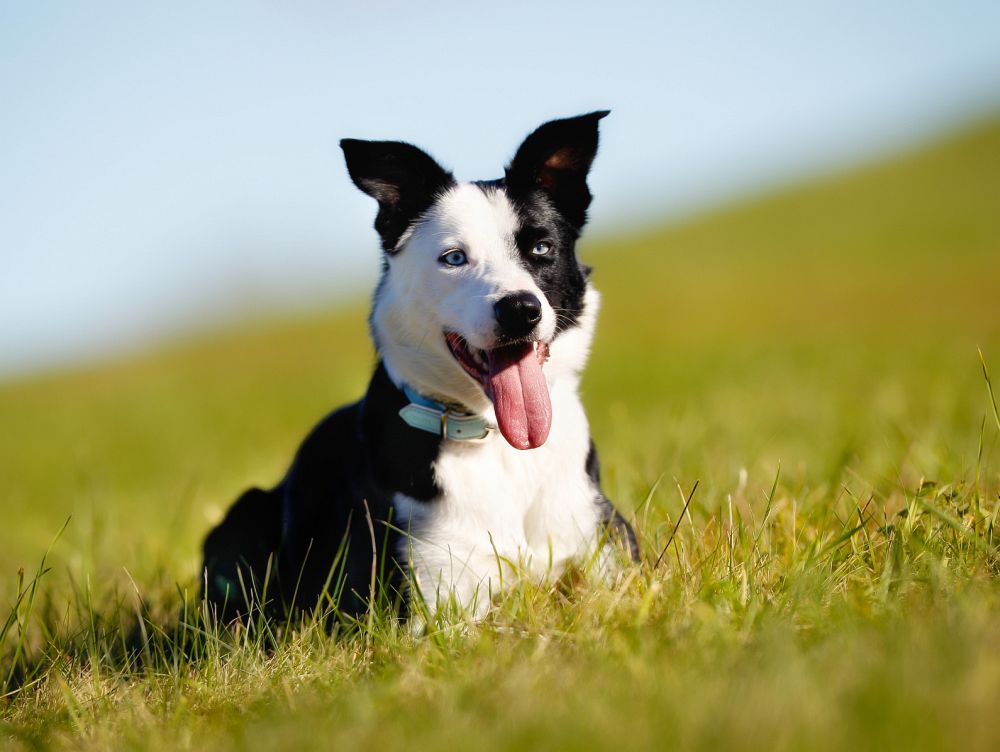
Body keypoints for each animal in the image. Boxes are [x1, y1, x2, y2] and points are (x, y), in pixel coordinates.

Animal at [202, 111, 636, 624]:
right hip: (243, 520)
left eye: (542, 248)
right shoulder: (432, 603)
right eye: (454, 258)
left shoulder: (606, 547)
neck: (496, 440)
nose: (520, 309)